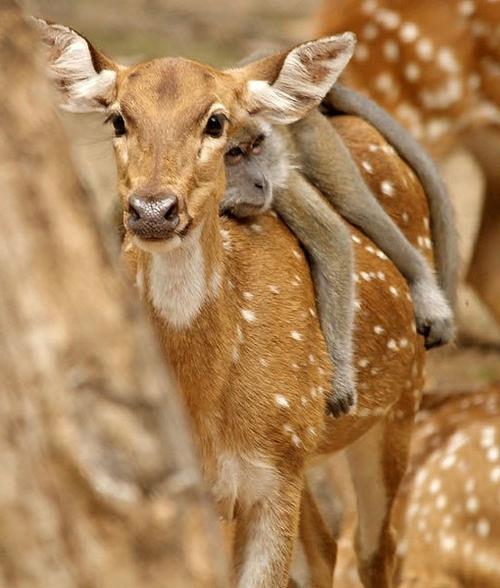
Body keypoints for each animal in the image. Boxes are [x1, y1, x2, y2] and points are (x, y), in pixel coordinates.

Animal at [35, 18, 434, 588]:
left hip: (400, 400)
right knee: (326, 546)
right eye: (118, 119)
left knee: (377, 548)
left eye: (215, 121)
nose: (152, 209)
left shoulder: (276, 472)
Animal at [223, 87, 458, 418]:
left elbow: (331, 236)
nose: (259, 182)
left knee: (353, 204)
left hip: (314, 138)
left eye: (255, 146)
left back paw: (422, 282)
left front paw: (340, 373)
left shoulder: (276, 172)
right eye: (233, 154)